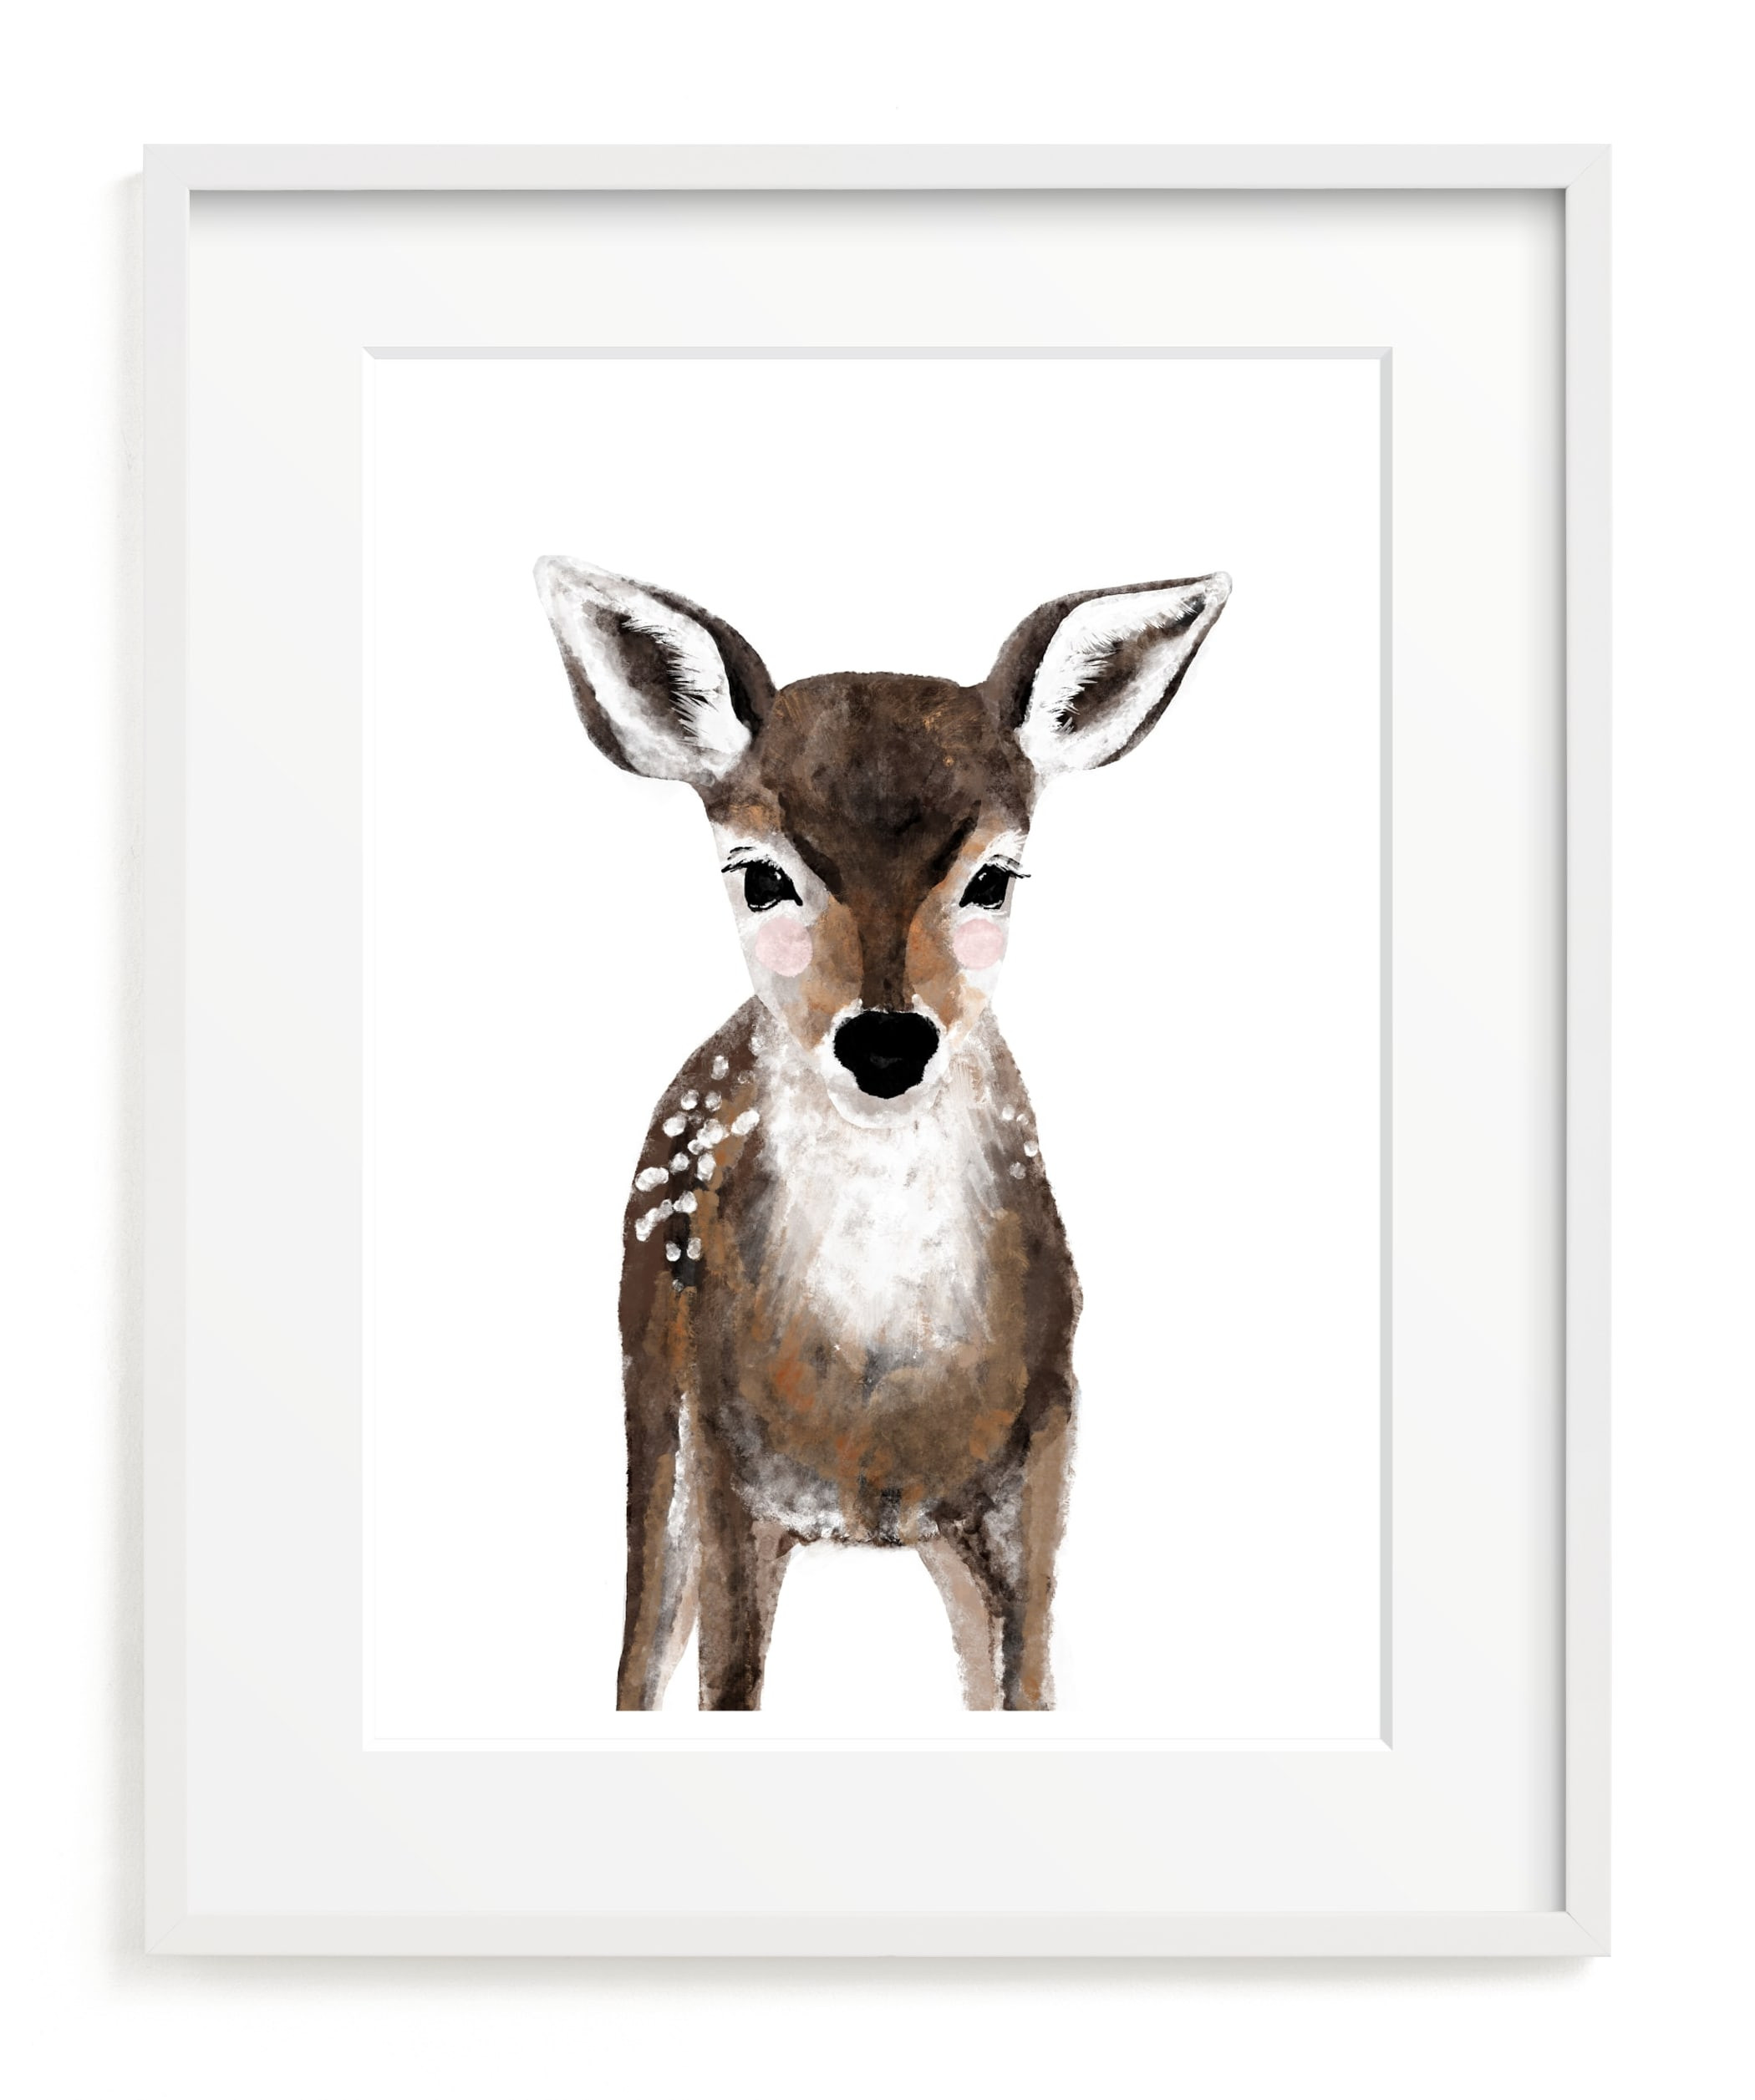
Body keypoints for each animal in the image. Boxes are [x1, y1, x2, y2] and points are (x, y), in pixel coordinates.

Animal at [535, 558, 1230, 1711]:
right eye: (759, 874)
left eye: (994, 876)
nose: (889, 1040)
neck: (880, 1389)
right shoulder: (725, 1457)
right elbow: (725, 1683)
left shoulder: (1045, 1444)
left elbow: (1028, 1683)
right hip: (648, 1382)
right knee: (638, 1649)